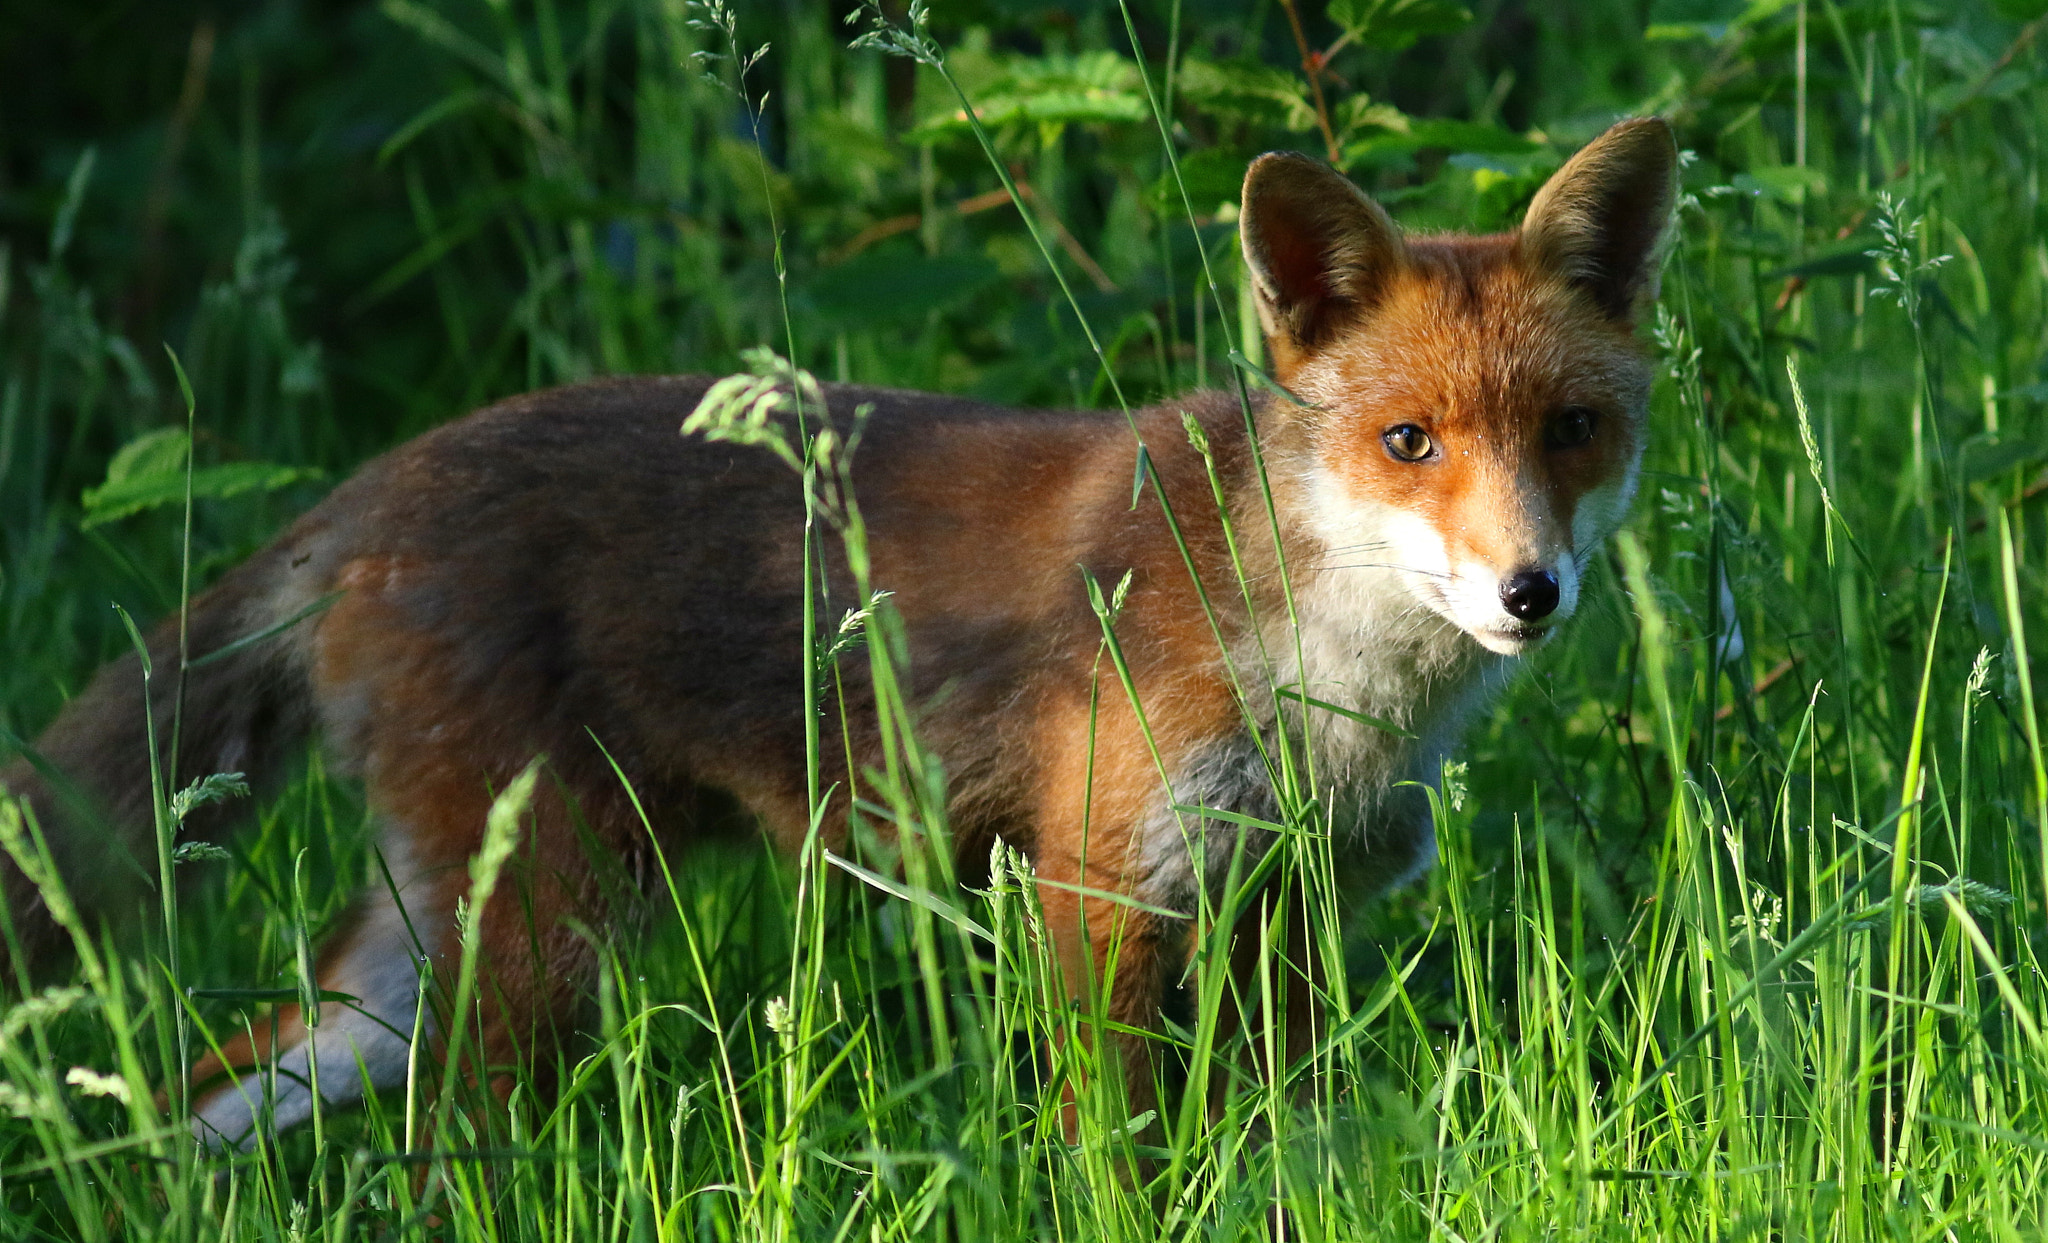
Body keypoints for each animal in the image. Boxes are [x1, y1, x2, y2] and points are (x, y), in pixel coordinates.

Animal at [1, 117, 1675, 1148]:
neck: (1329, 686)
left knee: (207, 1088)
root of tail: (377, 483)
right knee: (433, 1147)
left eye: (1571, 429)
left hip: (422, 961)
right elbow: (1124, 1158)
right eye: (1409, 441)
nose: (1531, 589)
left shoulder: (1292, 917)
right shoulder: (1099, 897)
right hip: (536, 939)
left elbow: (1283, 1146)